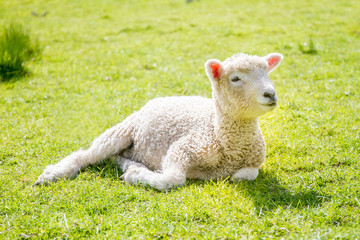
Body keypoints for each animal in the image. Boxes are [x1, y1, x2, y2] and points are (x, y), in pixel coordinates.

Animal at [32, 51, 282, 190]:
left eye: (267, 72)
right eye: (235, 78)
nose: (271, 93)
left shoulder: (253, 163)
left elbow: (244, 176)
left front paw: (134, 172)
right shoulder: (183, 148)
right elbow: (173, 179)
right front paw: (136, 177)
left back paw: (129, 163)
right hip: (121, 130)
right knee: (85, 155)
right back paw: (53, 174)